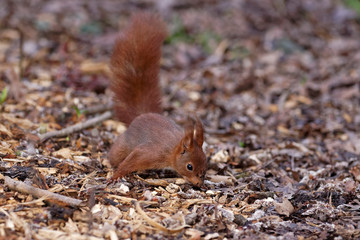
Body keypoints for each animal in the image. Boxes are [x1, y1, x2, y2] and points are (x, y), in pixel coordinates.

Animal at [107, 12, 207, 186]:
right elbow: (130, 162)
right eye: (189, 166)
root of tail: (140, 116)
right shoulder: (149, 153)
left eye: (206, 162)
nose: (199, 183)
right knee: (116, 155)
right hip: (124, 145)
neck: (172, 150)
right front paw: (116, 175)